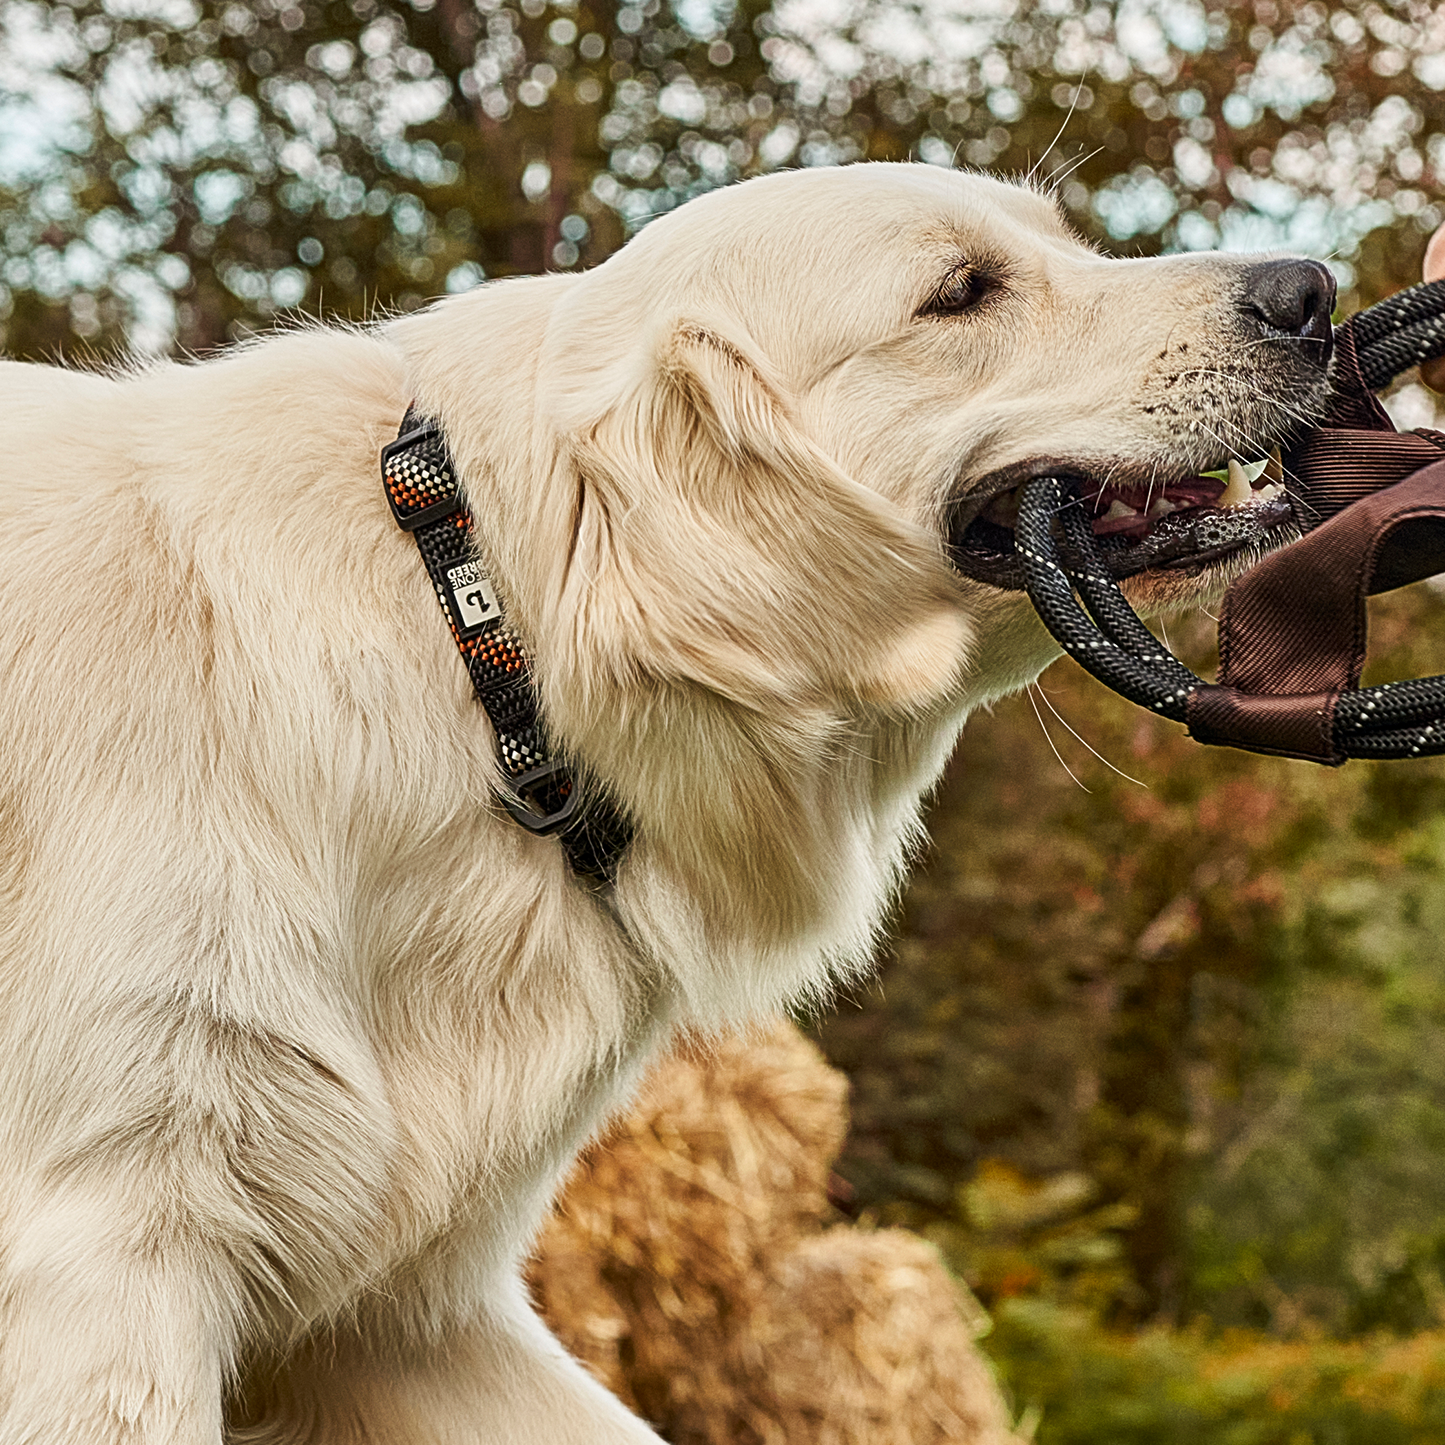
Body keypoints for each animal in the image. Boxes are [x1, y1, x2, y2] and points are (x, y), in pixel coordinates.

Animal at [0, 164, 1329, 1439]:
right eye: (959, 292)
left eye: (1067, 239)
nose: (1309, 291)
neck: (474, 633)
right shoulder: (103, 1264)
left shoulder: (400, 1314)